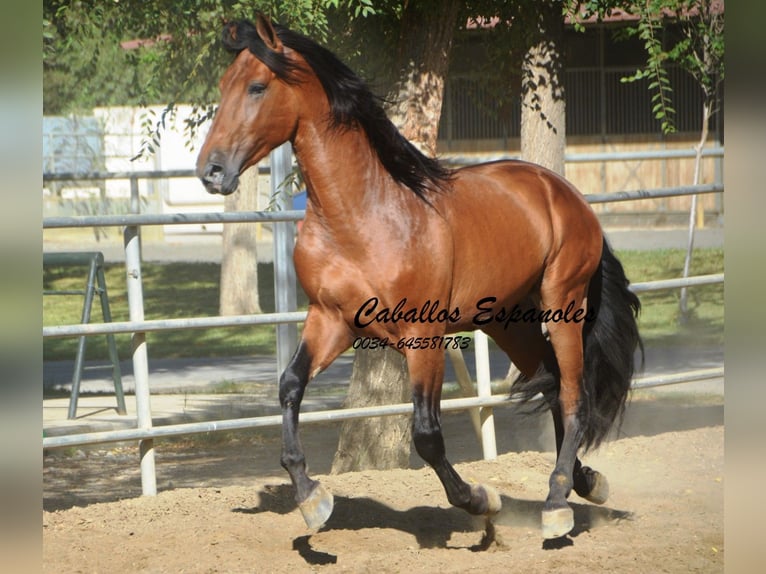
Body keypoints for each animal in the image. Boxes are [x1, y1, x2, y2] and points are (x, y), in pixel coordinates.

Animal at [196, 14, 640, 544]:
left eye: (258, 86)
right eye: (224, 85)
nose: (211, 171)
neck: (364, 216)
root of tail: (565, 194)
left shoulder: (422, 336)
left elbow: (427, 434)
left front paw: (480, 501)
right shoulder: (331, 320)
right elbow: (290, 386)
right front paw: (311, 498)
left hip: (563, 306)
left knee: (573, 395)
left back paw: (556, 504)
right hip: (509, 323)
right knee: (553, 386)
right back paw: (586, 482)